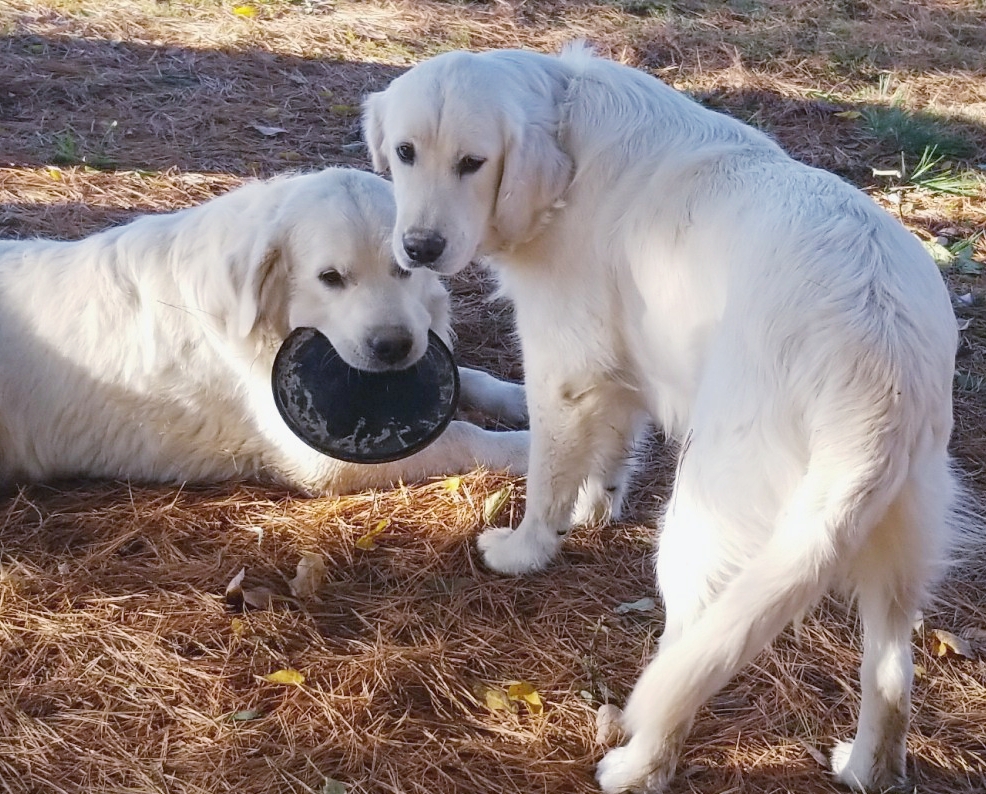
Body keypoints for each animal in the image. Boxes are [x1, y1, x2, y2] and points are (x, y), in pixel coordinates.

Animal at [0, 169, 528, 496]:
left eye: (405, 267)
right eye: (330, 278)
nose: (393, 347)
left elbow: (472, 378)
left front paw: (521, 397)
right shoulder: (327, 461)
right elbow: (466, 434)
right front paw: (529, 448)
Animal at [366, 44, 964, 792]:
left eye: (473, 163)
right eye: (406, 152)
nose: (418, 247)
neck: (567, 124)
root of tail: (883, 361)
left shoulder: (560, 369)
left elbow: (547, 476)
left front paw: (528, 548)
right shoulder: (619, 373)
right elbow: (610, 453)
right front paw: (594, 509)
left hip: (702, 524)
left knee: (688, 663)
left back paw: (636, 762)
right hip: (891, 551)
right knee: (891, 676)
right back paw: (863, 767)